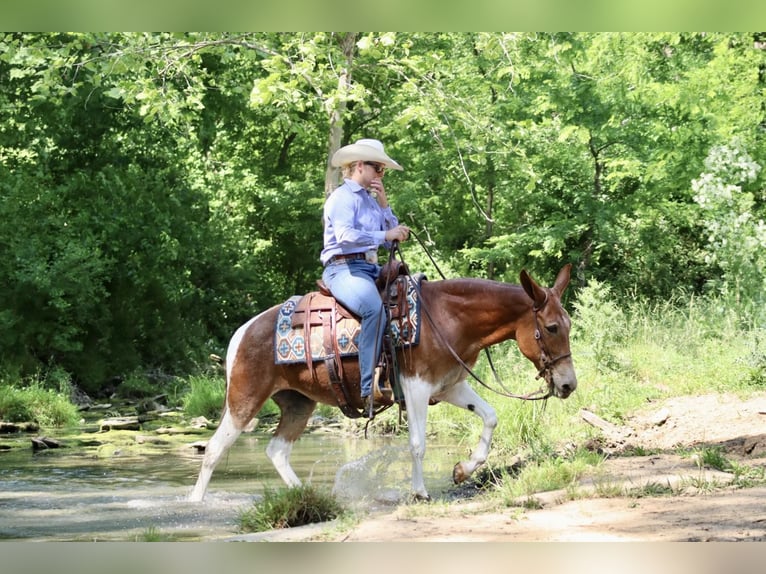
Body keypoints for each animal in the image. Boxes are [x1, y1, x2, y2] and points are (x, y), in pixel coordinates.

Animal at [189, 264, 580, 502]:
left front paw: (462, 470)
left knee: (277, 450)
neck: (446, 318)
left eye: (568, 324)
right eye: (551, 327)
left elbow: (490, 417)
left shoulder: (449, 387)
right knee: (215, 449)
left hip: (298, 403)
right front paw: (420, 492)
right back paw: (196, 502)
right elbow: (418, 444)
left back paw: (309, 497)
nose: (568, 385)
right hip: (244, 400)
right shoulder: (416, 387)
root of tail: (242, 332)